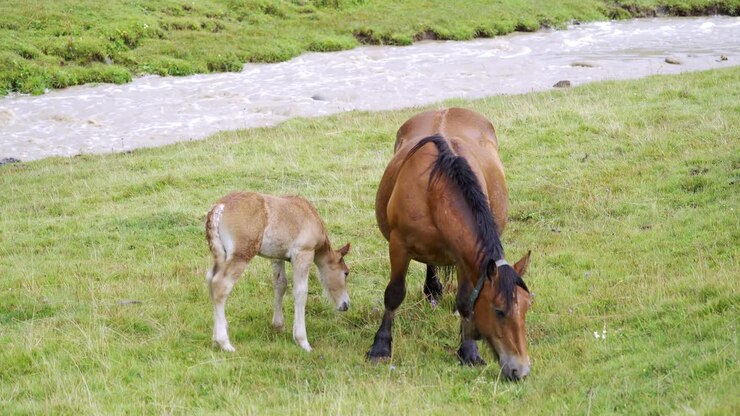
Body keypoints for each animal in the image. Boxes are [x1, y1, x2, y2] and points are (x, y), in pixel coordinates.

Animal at [205, 191, 351, 352]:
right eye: (346, 273)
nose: (346, 304)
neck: (310, 214)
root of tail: (220, 207)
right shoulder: (303, 253)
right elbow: (301, 292)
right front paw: (302, 341)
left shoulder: (277, 257)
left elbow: (280, 284)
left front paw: (278, 325)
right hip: (241, 255)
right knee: (220, 285)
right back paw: (224, 342)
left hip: (221, 255)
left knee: (210, 279)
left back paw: (215, 338)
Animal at [367, 107, 532, 381]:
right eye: (499, 311)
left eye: (527, 308)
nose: (521, 370)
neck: (434, 191)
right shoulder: (399, 245)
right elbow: (394, 293)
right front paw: (380, 346)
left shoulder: (463, 257)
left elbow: (465, 300)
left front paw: (469, 351)